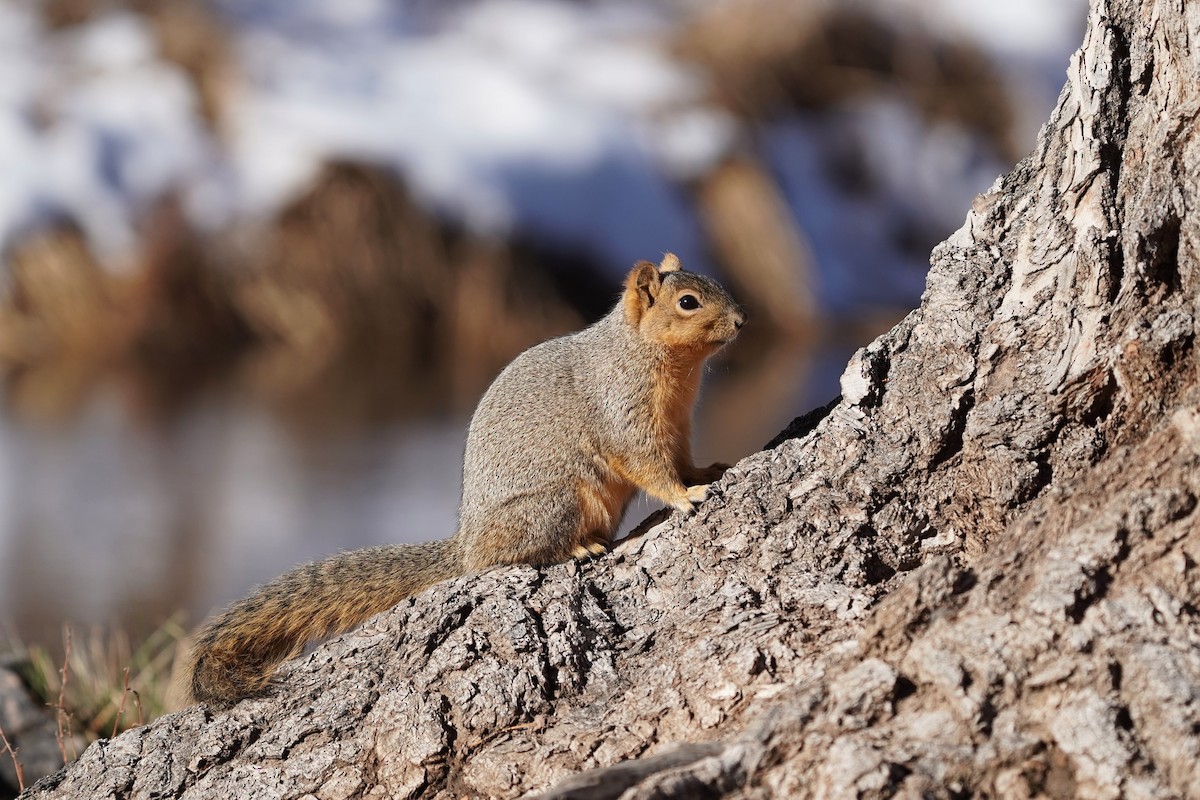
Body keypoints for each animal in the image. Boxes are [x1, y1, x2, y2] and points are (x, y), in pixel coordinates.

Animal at [183, 253, 745, 705]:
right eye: (688, 302)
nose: (741, 320)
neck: (659, 361)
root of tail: (467, 544)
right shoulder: (621, 412)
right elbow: (648, 465)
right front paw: (685, 495)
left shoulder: (678, 425)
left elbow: (681, 457)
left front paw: (702, 472)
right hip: (556, 503)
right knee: (512, 555)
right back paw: (576, 547)